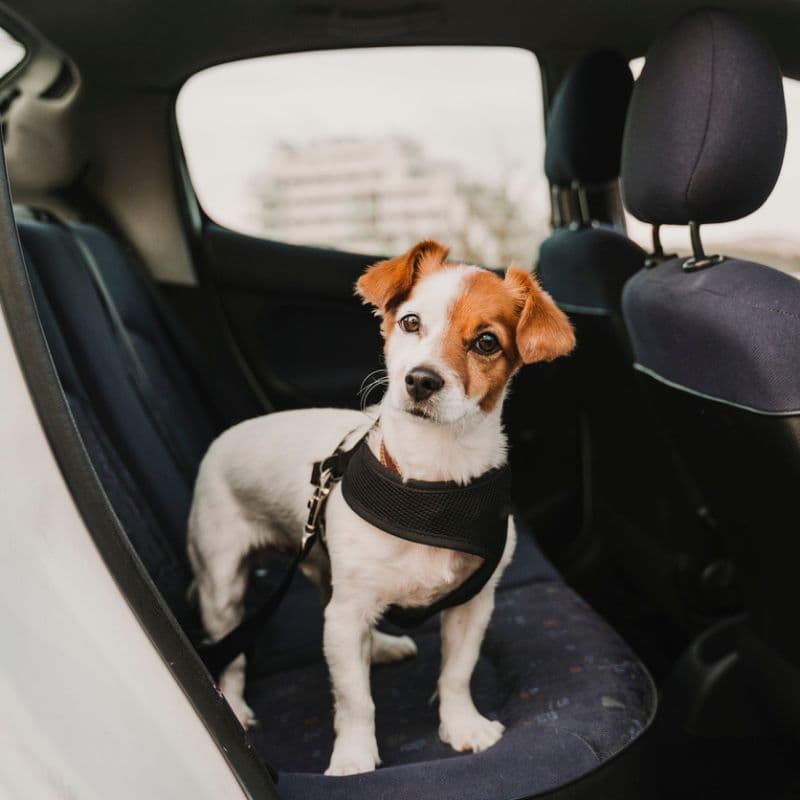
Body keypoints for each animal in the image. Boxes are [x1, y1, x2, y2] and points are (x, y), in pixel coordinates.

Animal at [188, 238, 576, 776]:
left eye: (486, 342)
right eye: (410, 322)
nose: (421, 380)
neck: (431, 483)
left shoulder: (473, 604)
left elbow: (457, 672)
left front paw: (462, 725)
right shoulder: (346, 613)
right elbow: (355, 700)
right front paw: (353, 757)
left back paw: (382, 647)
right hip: (223, 586)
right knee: (234, 652)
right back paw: (237, 706)